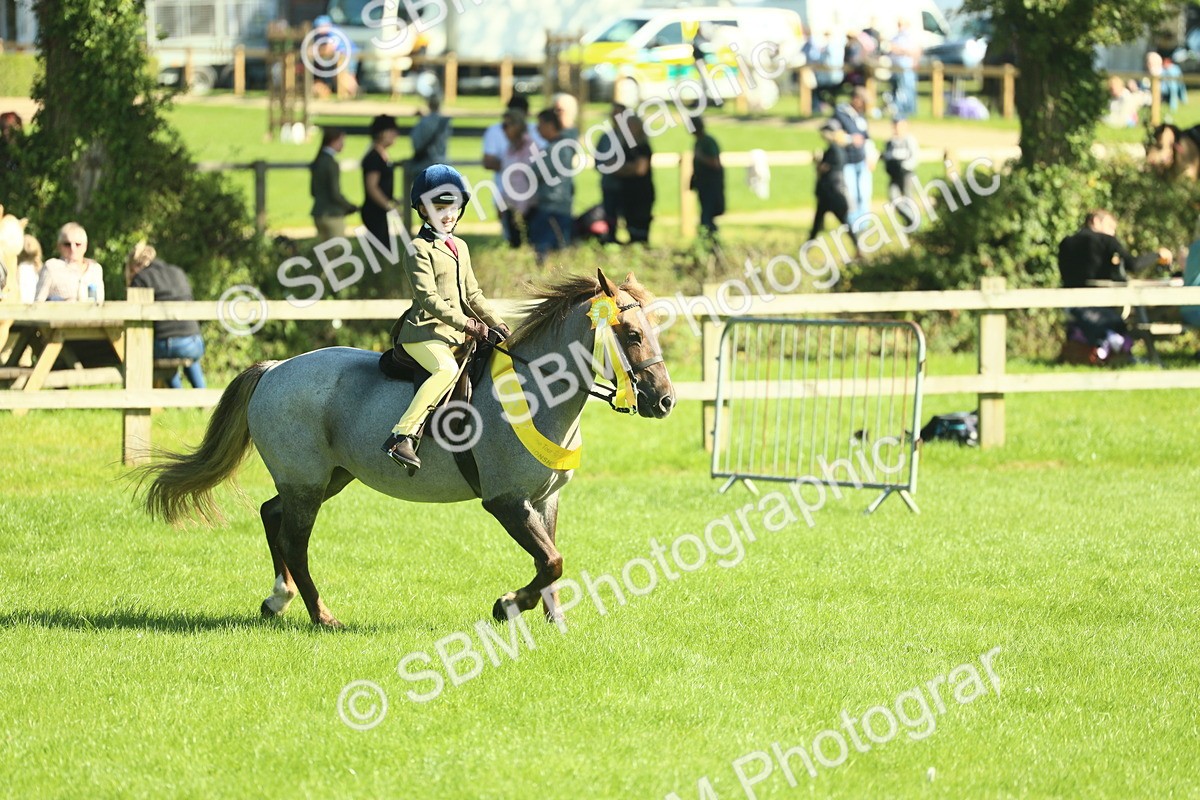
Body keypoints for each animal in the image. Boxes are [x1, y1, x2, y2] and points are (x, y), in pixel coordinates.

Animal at [137, 269, 675, 628]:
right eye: (632, 334)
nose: (664, 400)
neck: (534, 393)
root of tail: (274, 370)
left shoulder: (546, 499)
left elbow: (552, 563)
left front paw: (554, 622)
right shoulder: (506, 502)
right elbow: (551, 562)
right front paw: (505, 606)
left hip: (327, 477)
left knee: (272, 515)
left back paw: (277, 600)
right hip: (307, 483)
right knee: (294, 539)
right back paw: (321, 615)